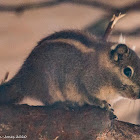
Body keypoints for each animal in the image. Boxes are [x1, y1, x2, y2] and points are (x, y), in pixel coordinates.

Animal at [0, 29, 139, 110]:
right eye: (127, 71)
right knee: (48, 101)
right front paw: (101, 103)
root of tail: (22, 79)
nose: (138, 96)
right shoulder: (85, 83)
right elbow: (89, 96)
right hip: (47, 85)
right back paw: (63, 104)